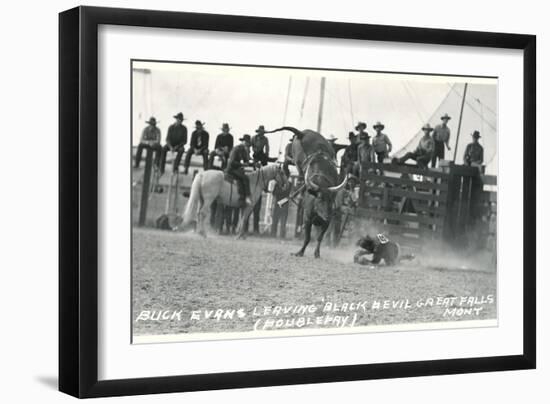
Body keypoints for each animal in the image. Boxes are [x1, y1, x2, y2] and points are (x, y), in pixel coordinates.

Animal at [268, 126, 350, 258]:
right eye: (320, 199)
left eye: (331, 200)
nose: (327, 216)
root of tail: (303, 133)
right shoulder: (307, 219)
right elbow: (307, 237)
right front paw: (300, 252)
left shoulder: (326, 223)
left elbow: (319, 238)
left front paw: (317, 253)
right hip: (297, 158)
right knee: (288, 159)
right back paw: (287, 172)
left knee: (288, 159)